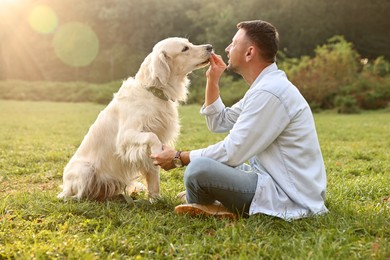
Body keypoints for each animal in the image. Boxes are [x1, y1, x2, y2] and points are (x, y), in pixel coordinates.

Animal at [57, 37, 213, 201]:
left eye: (189, 43)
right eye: (184, 49)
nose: (210, 47)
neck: (153, 91)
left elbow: (154, 175)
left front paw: (156, 199)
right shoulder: (126, 136)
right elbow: (151, 137)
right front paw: (158, 151)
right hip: (84, 169)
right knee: (74, 195)